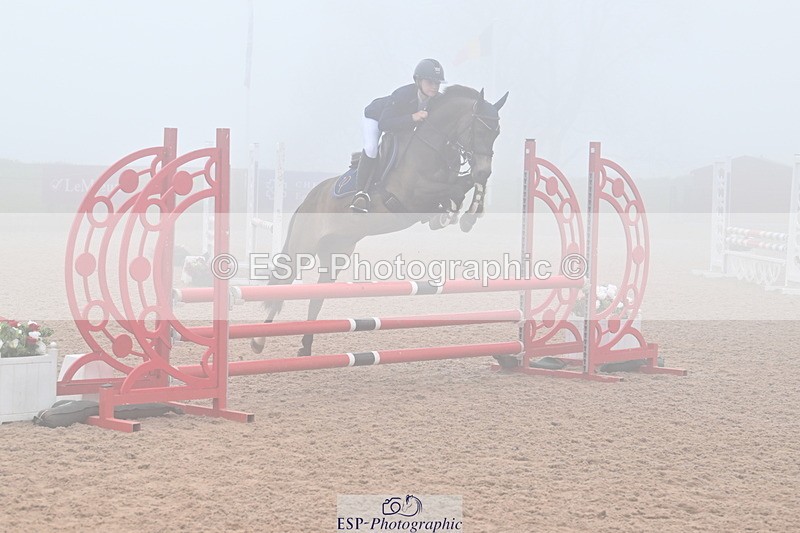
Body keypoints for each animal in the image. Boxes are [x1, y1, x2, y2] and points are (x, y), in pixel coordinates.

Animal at [251, 85, 508, 356]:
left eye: (496, 132)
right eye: (478, 129)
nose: (485, 169)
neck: (432, 145)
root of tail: (307, 200)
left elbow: (466, 184)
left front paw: (466, 212)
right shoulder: (413, 195)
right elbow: (457, 187)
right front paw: (457, 212)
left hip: (336, 251)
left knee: (317, 296)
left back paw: (305, 347)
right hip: (304, 246)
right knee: (285, 282)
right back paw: (258, 341)